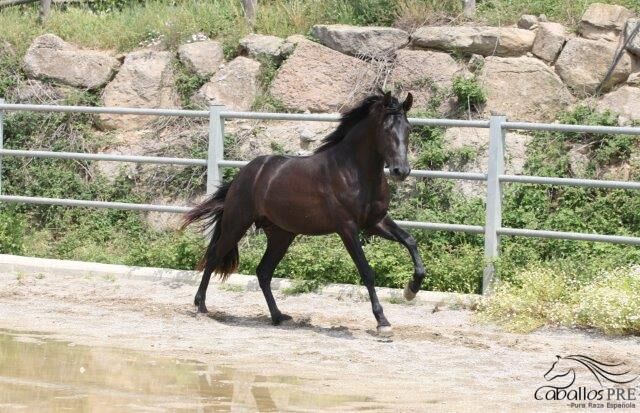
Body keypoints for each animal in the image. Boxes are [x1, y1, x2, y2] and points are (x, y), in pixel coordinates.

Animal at [182, 91, 424, 334]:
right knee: (214, 256)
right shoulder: (347, 228)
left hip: (281, 235)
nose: (401, 171)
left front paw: (411, 289)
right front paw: (382, 321)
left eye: (408, 128)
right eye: (386, 128)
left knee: (263, 272)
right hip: (237, 223)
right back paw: (201, 306)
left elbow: (410, 241)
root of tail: (245, 173)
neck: (354, 171)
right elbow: (366, 271)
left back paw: (278, 316)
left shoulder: (375, 222)